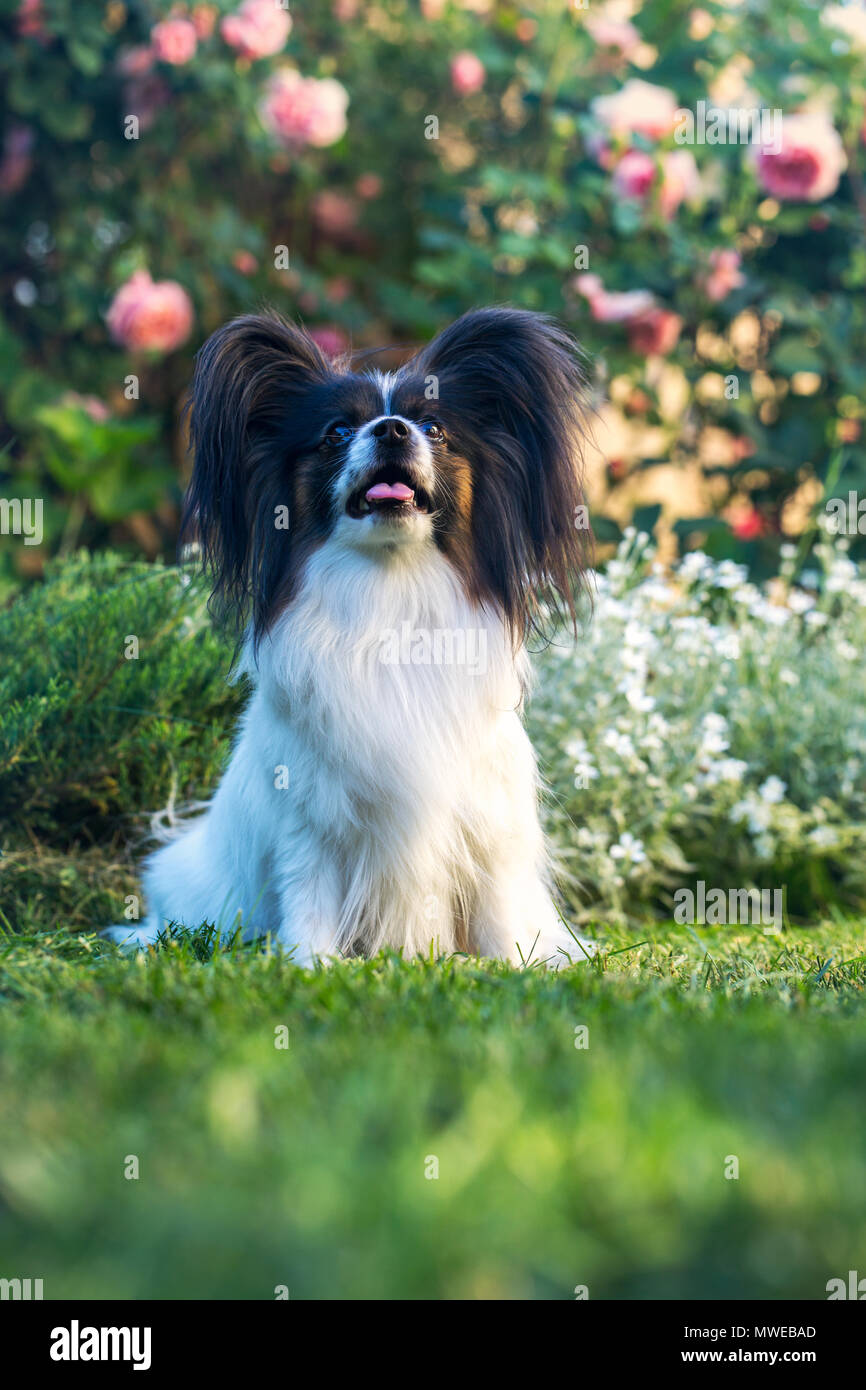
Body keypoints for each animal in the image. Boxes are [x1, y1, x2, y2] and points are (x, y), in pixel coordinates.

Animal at [107, 308, 594, 967]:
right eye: (337, 432)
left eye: (434, 428)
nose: (391, 430)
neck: (389, 596)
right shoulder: (309, 820)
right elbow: (308, 891)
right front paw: (309, 964)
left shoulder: (486, 819)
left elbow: (496, 906)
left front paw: (520, 964)